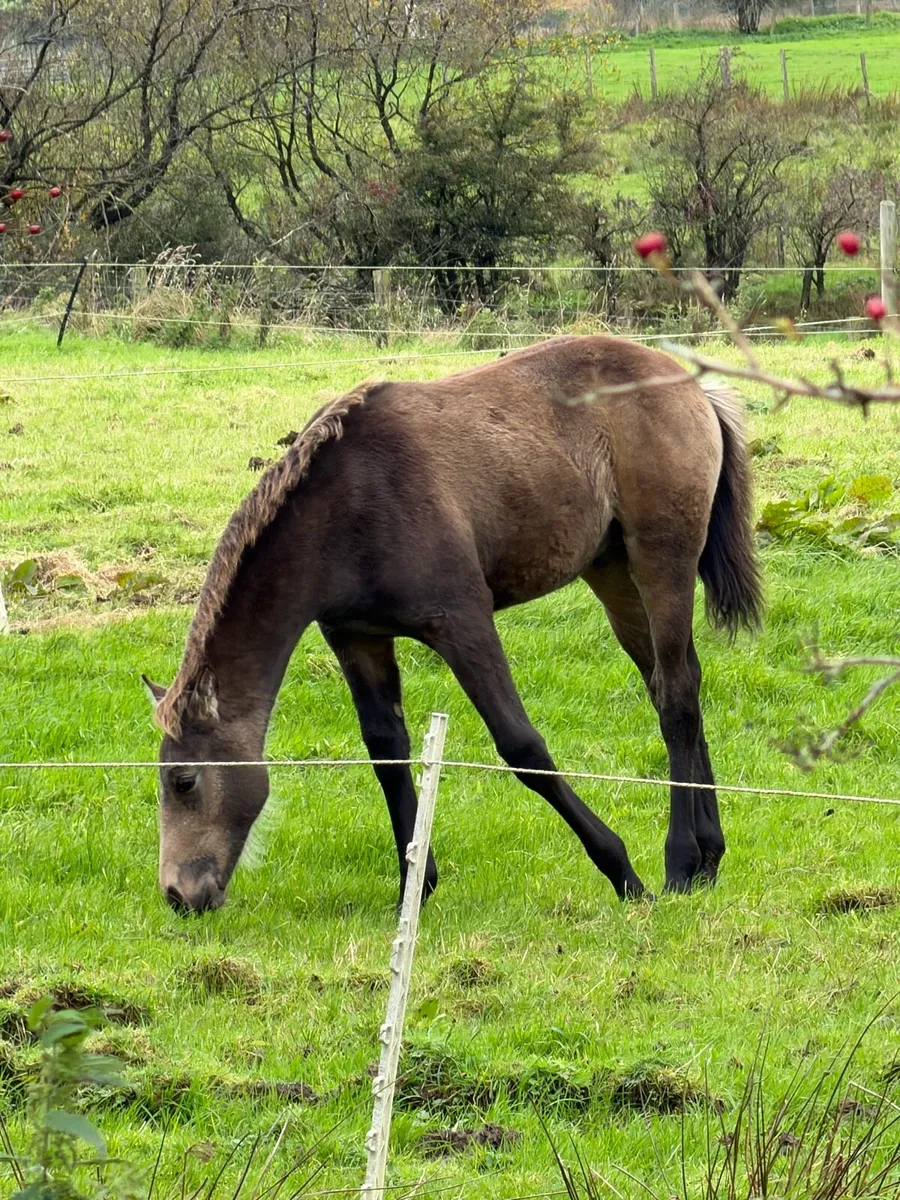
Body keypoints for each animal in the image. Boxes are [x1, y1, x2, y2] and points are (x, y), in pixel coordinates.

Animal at [143, 334, 761, 914]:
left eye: (184, 781)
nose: (176, 894)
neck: (345, 506)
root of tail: (693, 385)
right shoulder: (356, 636)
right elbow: (387, 752)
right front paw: (413, 888)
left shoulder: (463, 622)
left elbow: (523, 747)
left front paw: (623, 873)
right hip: (611, 574)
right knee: (674, 684)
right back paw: (709, 856)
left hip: (662, 561)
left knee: (676, 694)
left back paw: (680, 861)